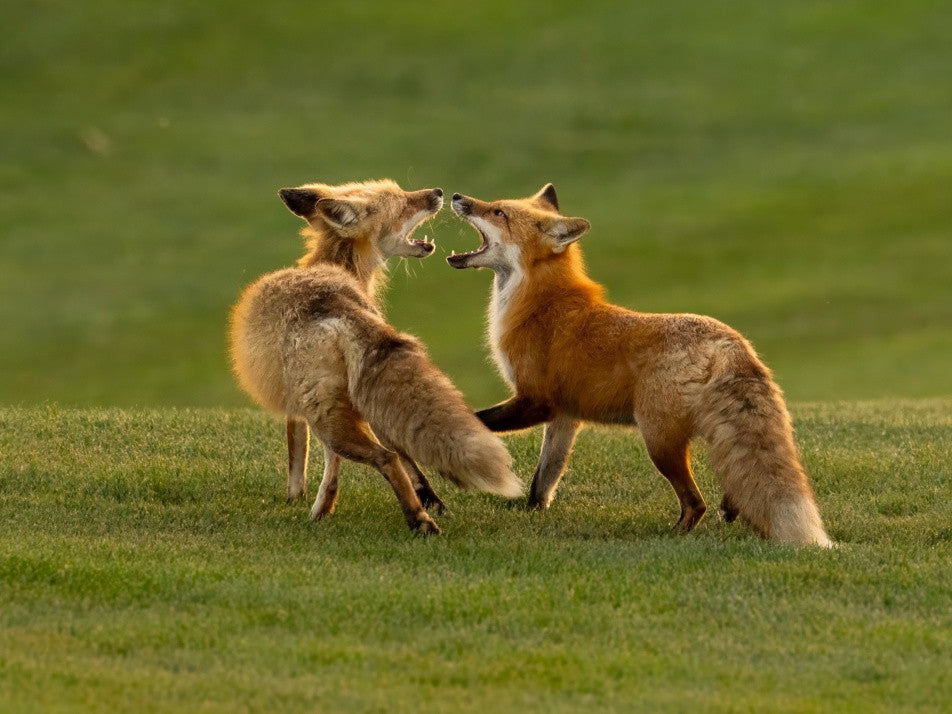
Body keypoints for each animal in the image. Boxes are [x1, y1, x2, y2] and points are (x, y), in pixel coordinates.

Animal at [229, 179, 522, 534]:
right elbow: (386, 463)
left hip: (327, 418)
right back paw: (419, 510)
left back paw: (417, 521)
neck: (338, 269)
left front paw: (297, 499)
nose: (438, 193)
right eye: (404, 204)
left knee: (384, 457)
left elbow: (297, 457)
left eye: (403, 194)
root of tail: (336, 300)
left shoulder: (299, 410)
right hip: (345, 407)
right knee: (388, 456)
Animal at [446, 184, 832, 547]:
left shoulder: (536, 399)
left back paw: (673, 536)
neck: (538, 303)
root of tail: (730, 341)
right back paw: (731, 509)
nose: (457, 196)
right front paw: (533, 514)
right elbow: (544, 479)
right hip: (703, 431)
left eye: (498, 212)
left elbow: (479, 422)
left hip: (659, 441)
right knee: (733, 480)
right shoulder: (565, 416)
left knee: (695, 503)